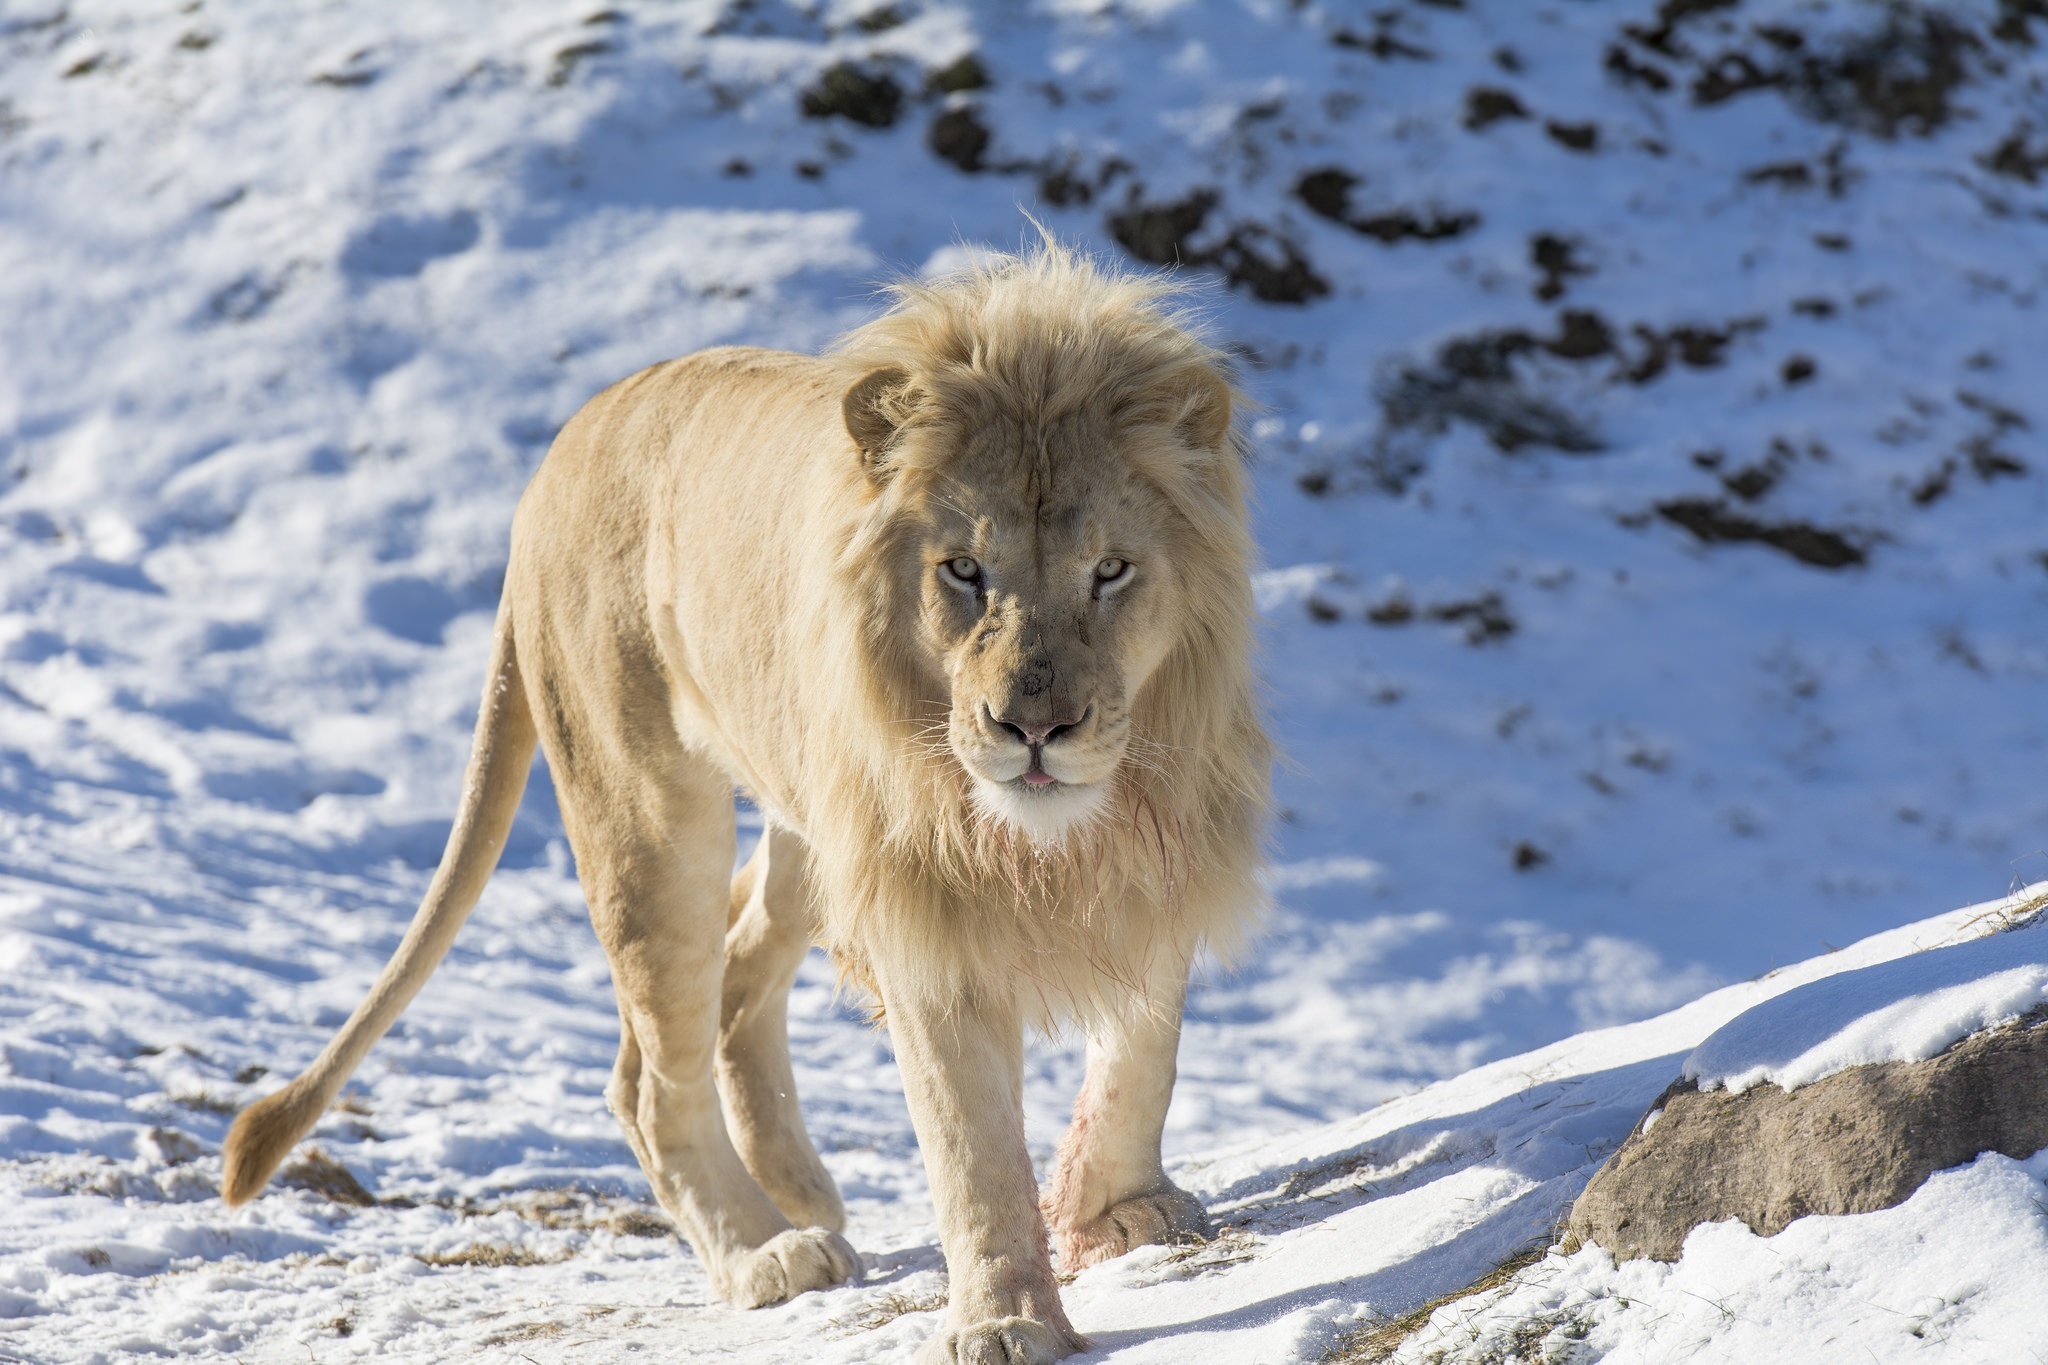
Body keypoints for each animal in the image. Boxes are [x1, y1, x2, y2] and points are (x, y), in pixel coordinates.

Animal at [216, 245, 1253, 1365]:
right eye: (964, 571)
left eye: (1110, 570)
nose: (1032, 728)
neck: (1061, 833)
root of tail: (552, 462)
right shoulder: (923, 918)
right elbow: (970, 1144)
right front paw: (1008, 1318)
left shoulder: (1165, 851)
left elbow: (1144, 1049)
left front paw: (1116, 1209)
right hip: (647, 815)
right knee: (650, 1073)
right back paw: (766, 1251)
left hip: (807, 822)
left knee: (738, 973)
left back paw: (799, 1190)